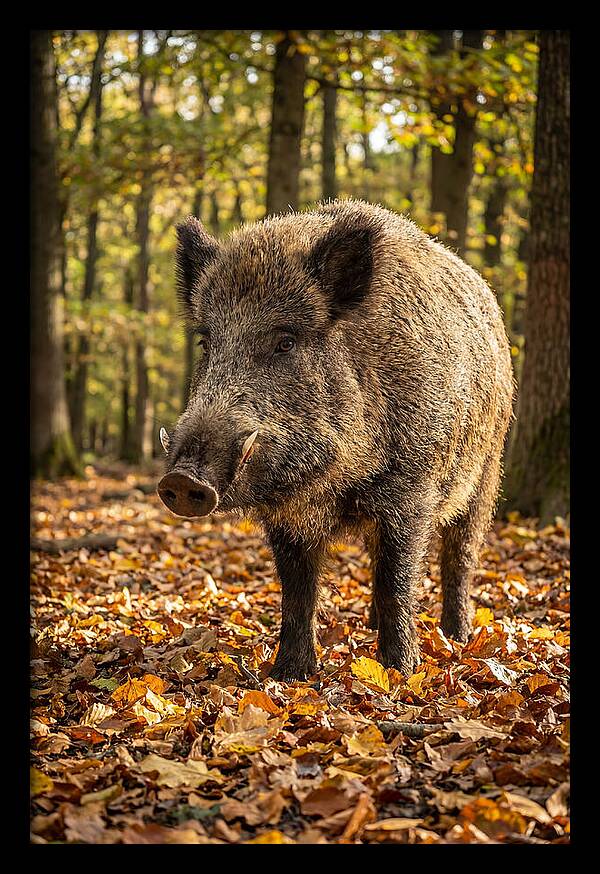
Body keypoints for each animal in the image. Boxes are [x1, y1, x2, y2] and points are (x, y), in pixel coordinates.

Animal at [157, 199, 514, 681]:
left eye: (285, 342)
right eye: (206, 343)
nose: (181, 480)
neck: (334, 482)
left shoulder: (411, 490)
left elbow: (397, 579)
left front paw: (399, 673)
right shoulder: (287, 516)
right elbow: (298, 590)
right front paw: (289, 675)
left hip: (487, 471)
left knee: (460, 556)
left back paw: (456, 637)